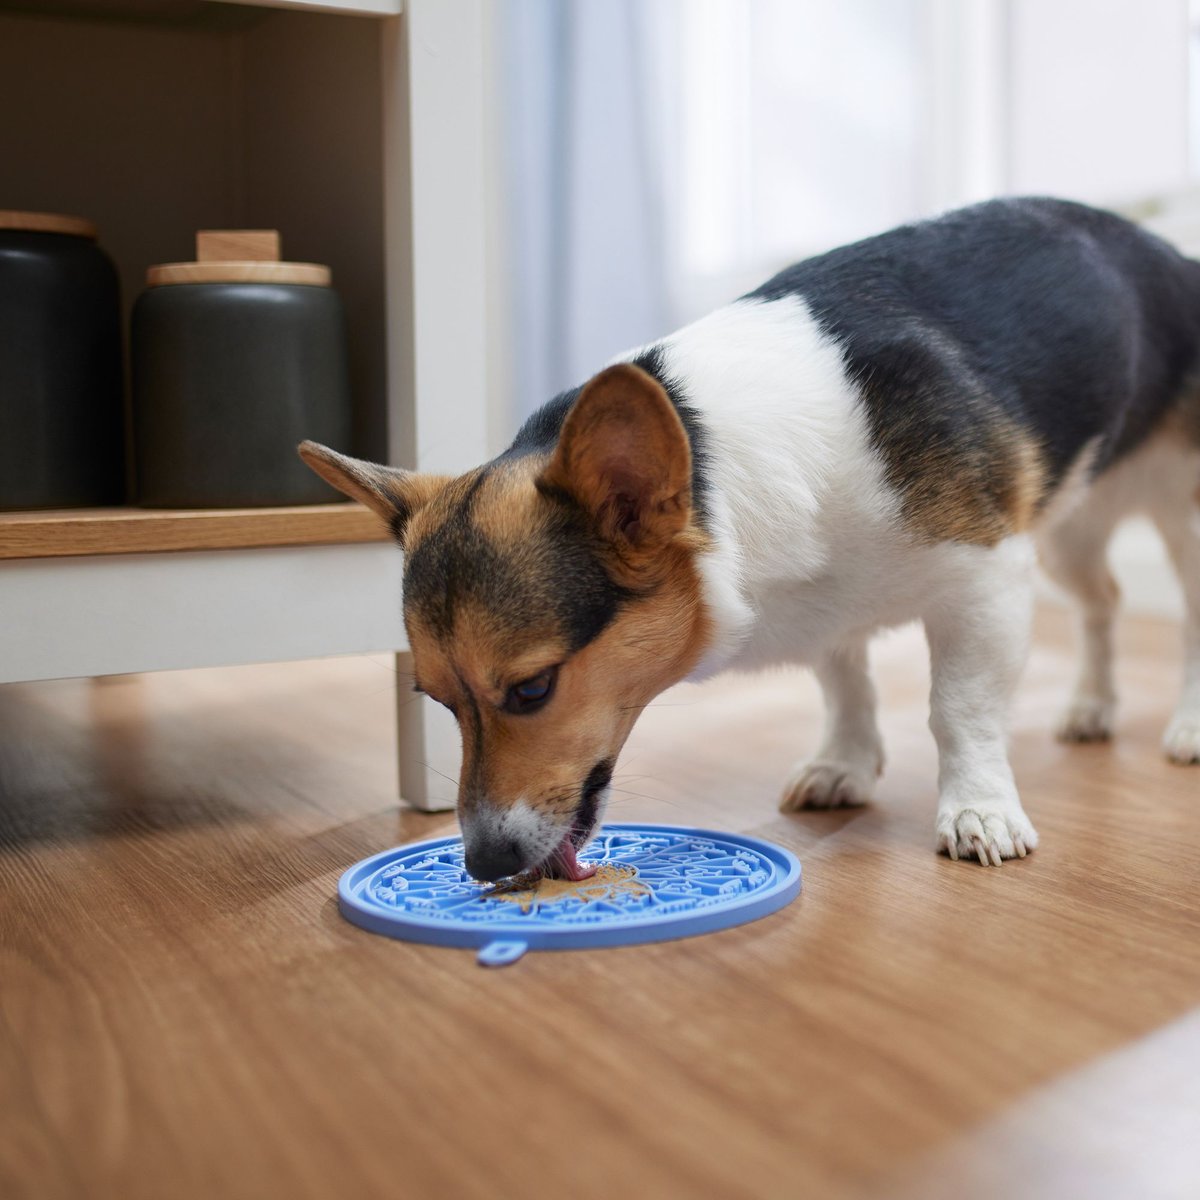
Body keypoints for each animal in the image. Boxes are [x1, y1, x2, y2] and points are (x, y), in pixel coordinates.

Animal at [300, 192, 1200, 878]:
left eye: (530, 690)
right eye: (434, 700)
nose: (484, 865)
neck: (718, 468)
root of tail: (1164, 250)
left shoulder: (985, 581)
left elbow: (959, 710)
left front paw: (977, 810)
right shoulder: (836, 600)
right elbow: (846, 686)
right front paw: (845, 763)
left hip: (1169, 519)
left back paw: (1186, 726)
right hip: (1069, 530)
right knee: (1103, 601)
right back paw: (1091, 706)